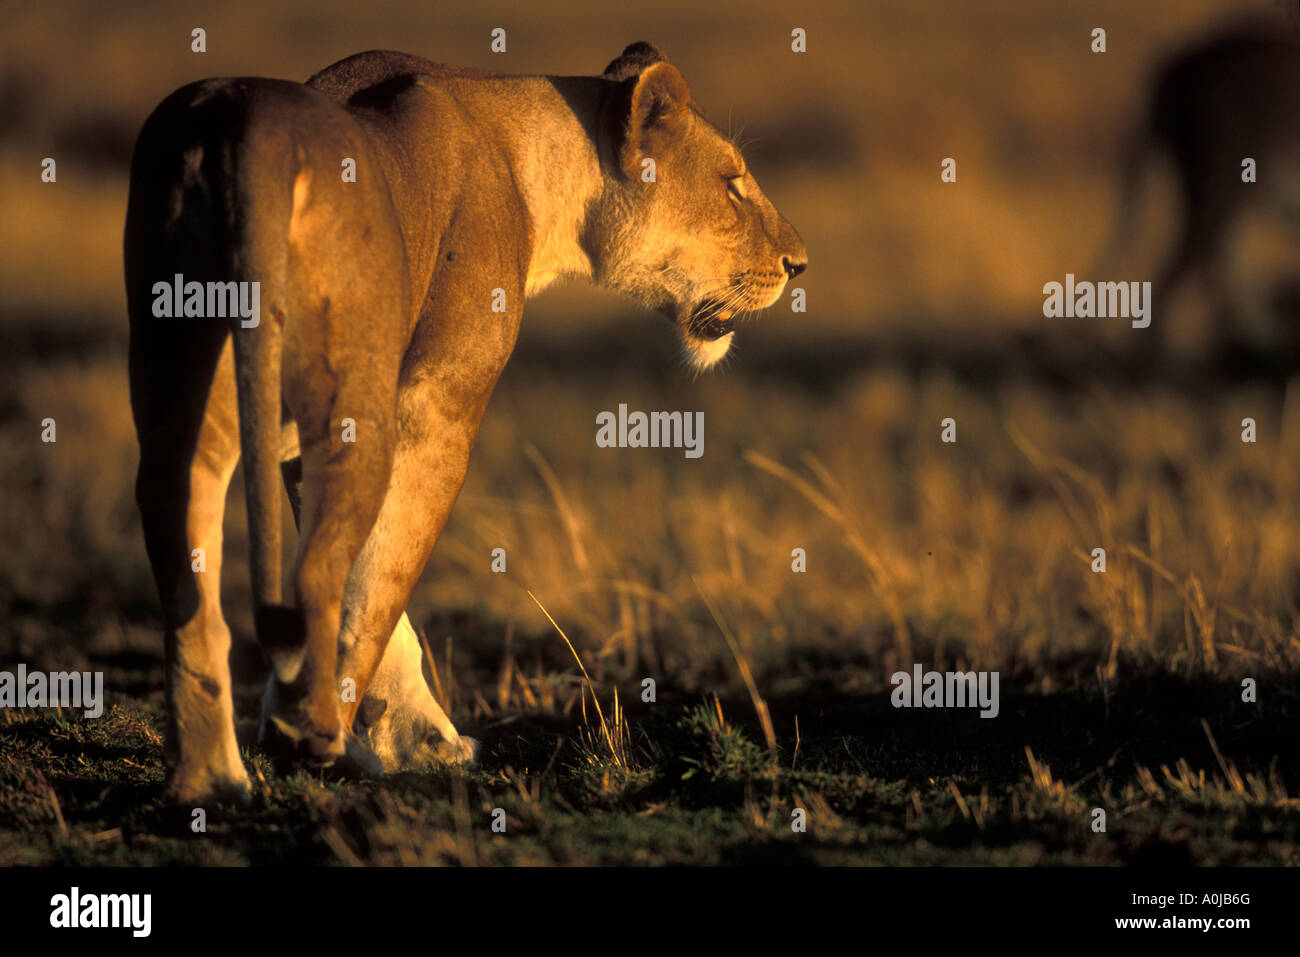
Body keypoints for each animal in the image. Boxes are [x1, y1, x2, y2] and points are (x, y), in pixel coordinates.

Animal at [124, 42, 807, 805]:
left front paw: (415, 735)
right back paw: (308, 737)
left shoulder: (303, 440)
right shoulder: (437, 406)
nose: (799, 264)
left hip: (183, 389)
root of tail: (244, 130)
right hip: (352, 409)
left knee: (187, 560)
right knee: (319, 570)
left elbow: (374, 579)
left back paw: (210, 778)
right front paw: (407, 737)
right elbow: (382, 574)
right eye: (733, 185)